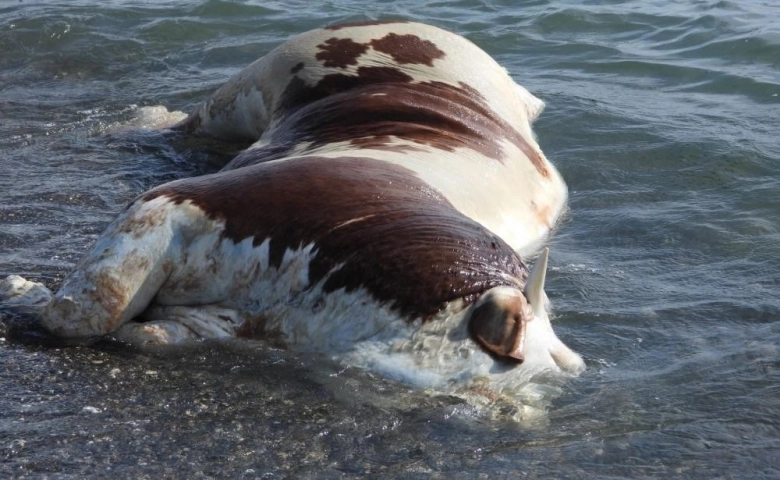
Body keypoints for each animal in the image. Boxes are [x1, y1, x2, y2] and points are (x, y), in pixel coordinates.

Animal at [0, 20, 580, 396]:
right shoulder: (165, 207)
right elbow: (82, 309)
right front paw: (20, 290)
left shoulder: (225, 319)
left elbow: (146, 332)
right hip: (263, 78)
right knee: (190, 121)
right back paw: (134, 125)